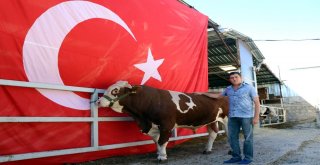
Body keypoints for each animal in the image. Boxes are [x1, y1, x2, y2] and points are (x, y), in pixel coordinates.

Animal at [96, 80, 229, 160]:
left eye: (115, 91)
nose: (98, 101)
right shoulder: (153, 126)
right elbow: (156, 141)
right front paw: (159, 153)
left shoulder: (166, 125)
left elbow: (162, 141)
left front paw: (162, 157)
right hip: (212, 120)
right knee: (212, 134)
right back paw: (207, 149)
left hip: (226, 118)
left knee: (228, 132)